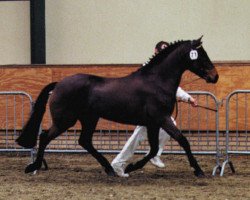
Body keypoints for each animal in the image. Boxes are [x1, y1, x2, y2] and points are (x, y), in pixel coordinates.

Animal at [16, 36, 218, 177]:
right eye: (201, 55)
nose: (214, 77)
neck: (157, 81)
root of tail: (59, 84)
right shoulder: (161, 118)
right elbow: (182, 140)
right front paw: (198, 170)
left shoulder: (153, 123)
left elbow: (154, 148)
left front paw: (131, 167)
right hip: (65, 120)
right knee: (44, 137)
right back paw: (33, 167)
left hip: (89, 118)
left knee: (85, 141)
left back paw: (110, 169)